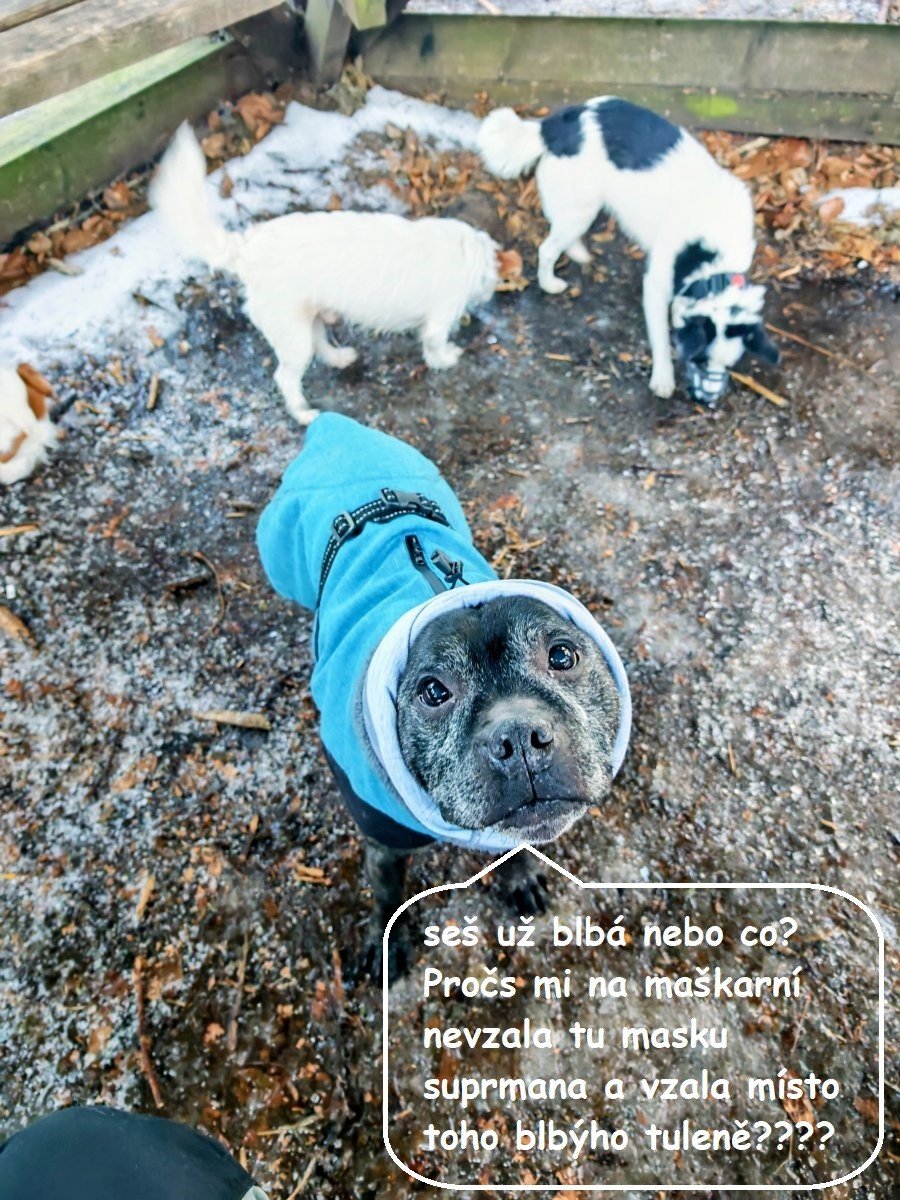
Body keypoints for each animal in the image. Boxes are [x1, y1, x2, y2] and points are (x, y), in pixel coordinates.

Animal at [150, 124, 517, 425]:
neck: (465, 251)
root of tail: (247, 249)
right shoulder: (438, 321)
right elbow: (435, 345)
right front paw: (447, 359)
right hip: (292, 335)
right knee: (286, 377)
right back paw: (303, 412)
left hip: (306, 316)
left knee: (320, 342)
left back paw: (340, 357)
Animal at [257, 415, 631, 976]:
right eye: (433, 691)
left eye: (562, 656)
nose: (519, 737)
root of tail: (331, 426)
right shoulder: (382, 840)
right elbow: (387, 894)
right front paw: (385, 944)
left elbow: (514, 845)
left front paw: (519, 877)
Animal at [477, 97, 780, 404]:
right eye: (700, 361)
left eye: (729, 365)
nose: (705, 401)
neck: (714, 255)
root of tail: (555, 125)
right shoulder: (656, 284)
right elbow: (660, 339)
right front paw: (663, 378)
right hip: (580, 209)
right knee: (547, 248)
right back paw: (550, 282)